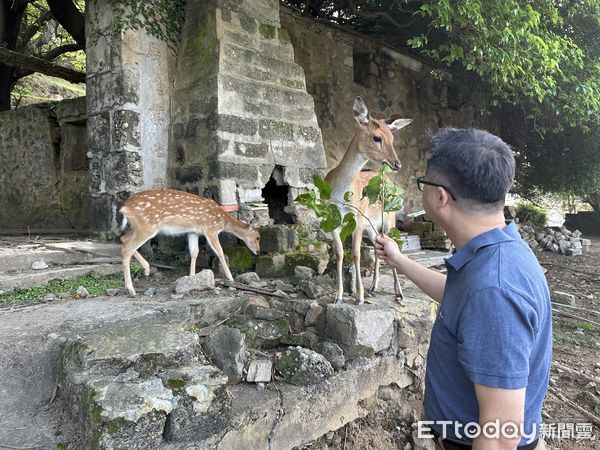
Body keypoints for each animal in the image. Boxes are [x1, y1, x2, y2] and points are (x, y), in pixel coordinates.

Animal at [119, 188, 260, 298]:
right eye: (258, 237)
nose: (258, 251)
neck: (223, 221)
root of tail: (125, 207)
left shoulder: (193, 231)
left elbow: (194, 252)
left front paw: (192, 277)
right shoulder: (210, 229)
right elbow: (220, 251)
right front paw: (231, 278)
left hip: (137, 227)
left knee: (123, 239)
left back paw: (146, 269)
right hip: (147, 225)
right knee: (128, 248)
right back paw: (131, 289)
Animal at [324, 96, 412, 304]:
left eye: (393, 138)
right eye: (377, 137)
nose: (397, 164)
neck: (340, 193)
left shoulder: (357, 218)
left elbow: (356, 254)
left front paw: (359, 297)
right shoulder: (332, 220)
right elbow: (339, 253)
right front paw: (338, 296)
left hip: (389, 219)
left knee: (393, 247)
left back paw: (398, 292)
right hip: (371, 228)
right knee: (378, 248)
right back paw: (374, 286)